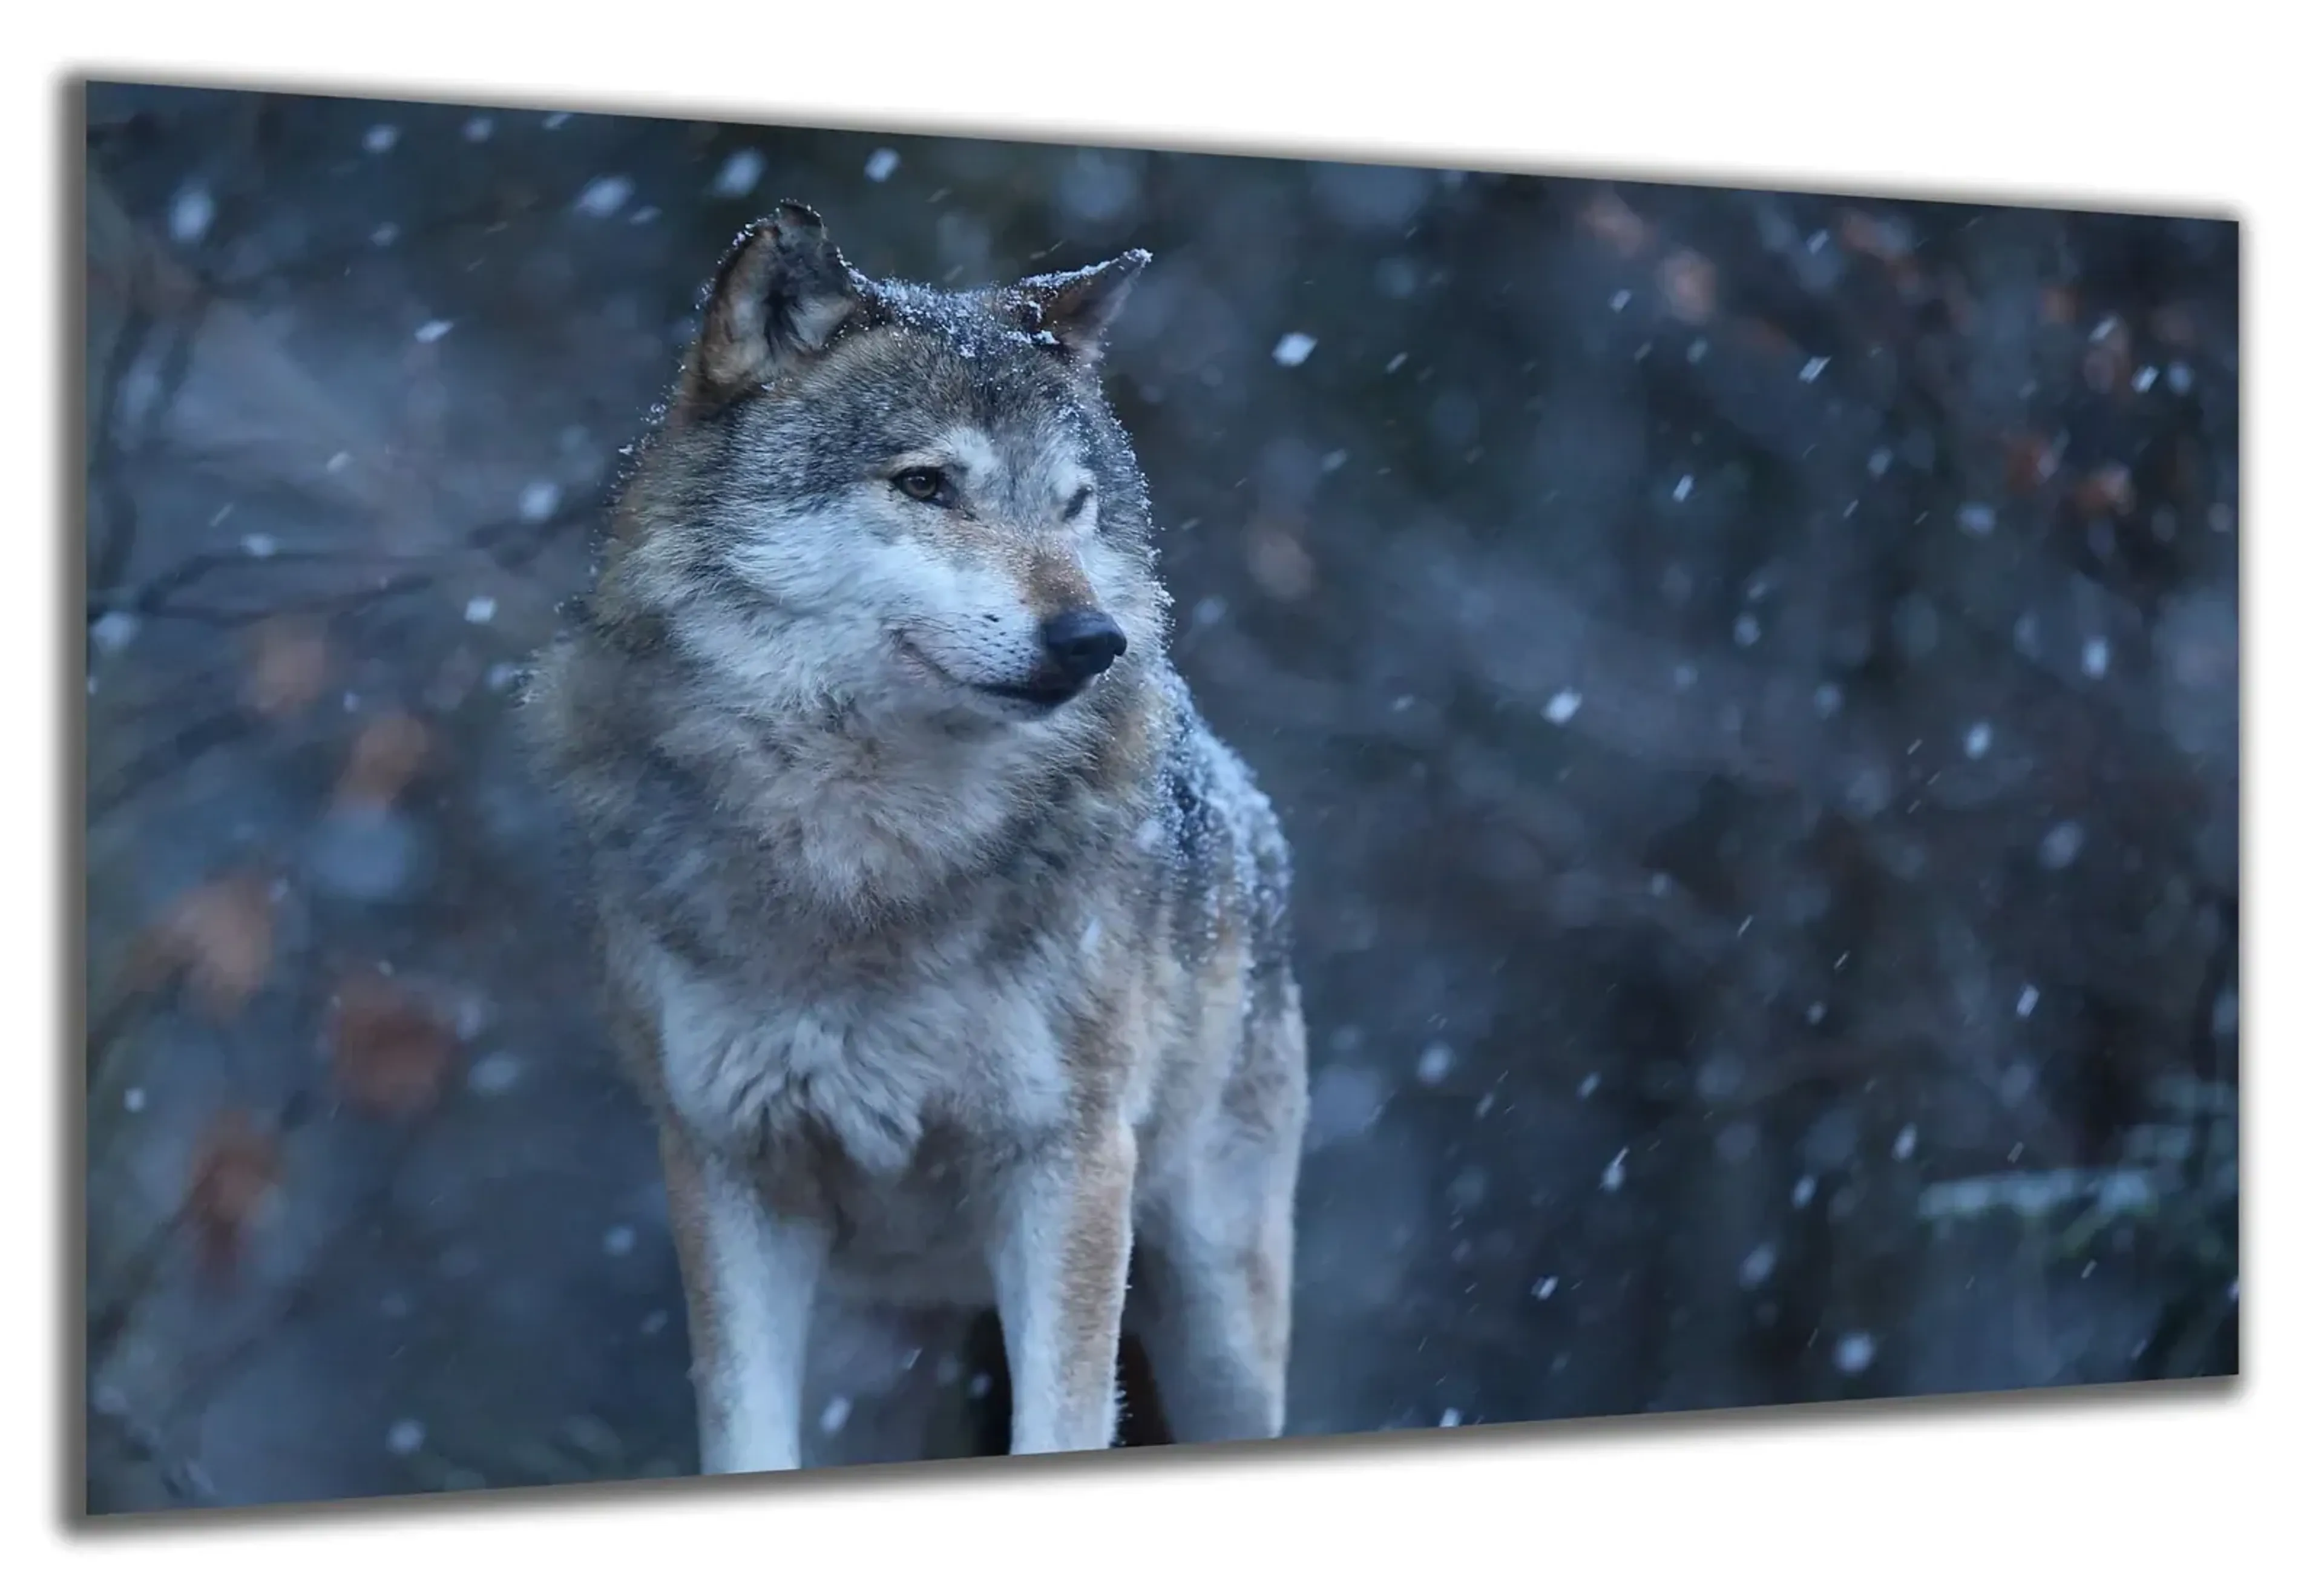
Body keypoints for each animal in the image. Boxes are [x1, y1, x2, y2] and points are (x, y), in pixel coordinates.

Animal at [521, 204, 1309, 1471]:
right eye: (928, 484)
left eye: (1076, 505)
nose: (1092, 640)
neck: (871, 857)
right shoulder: (730, 1172)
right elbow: (741, 1436)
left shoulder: (1067, 1167)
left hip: (1218, 1322)